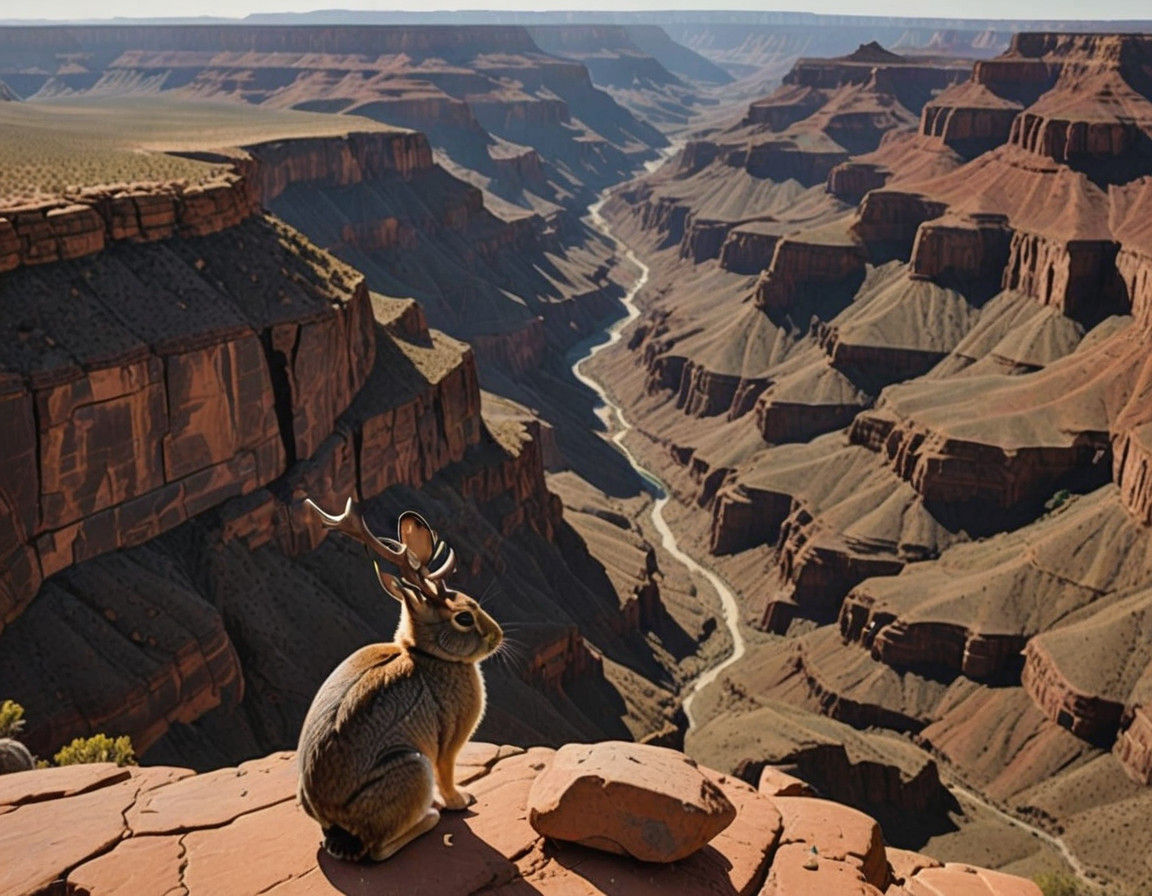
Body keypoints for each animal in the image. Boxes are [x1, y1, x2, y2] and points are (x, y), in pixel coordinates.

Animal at [296, 500, 503, 862]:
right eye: (464, 618)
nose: (498, 636)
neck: (428, 654)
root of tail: (330, 815)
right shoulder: (448, 743)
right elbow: (447, 774)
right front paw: (462, 800)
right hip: (413, 769)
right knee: (377, 850)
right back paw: (431, 814)